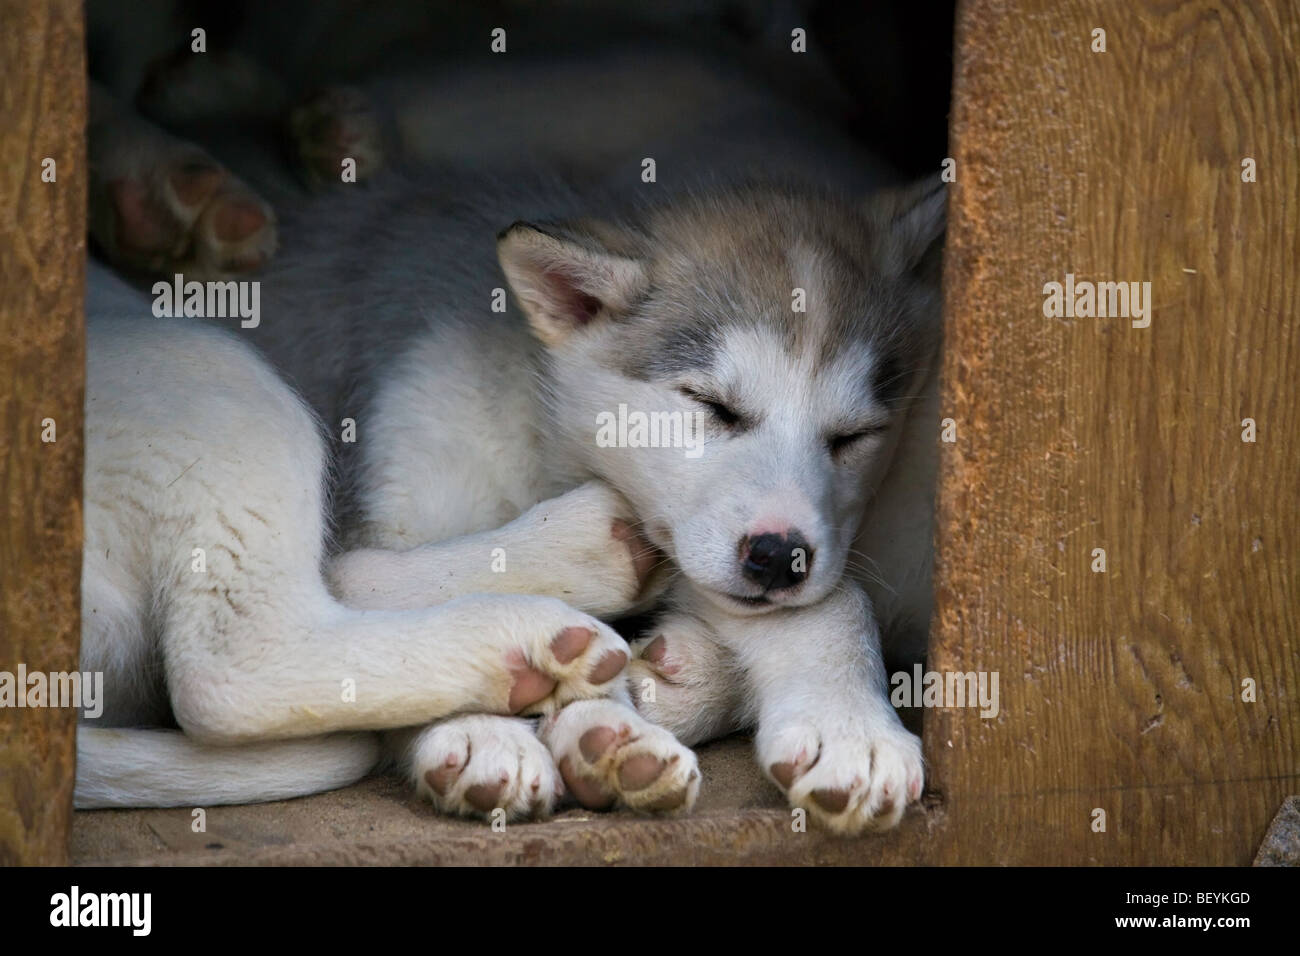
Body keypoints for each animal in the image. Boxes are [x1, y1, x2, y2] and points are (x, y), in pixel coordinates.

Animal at [76, 82, 941, 832]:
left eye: (855, 436)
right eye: (711, 406)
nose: (776, 559)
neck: (544, 431)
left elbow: (833, 602)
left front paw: (845, 729)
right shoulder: (398, 478)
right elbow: (361, 575)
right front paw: (485, 730)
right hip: (210, 378)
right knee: (235, 666)